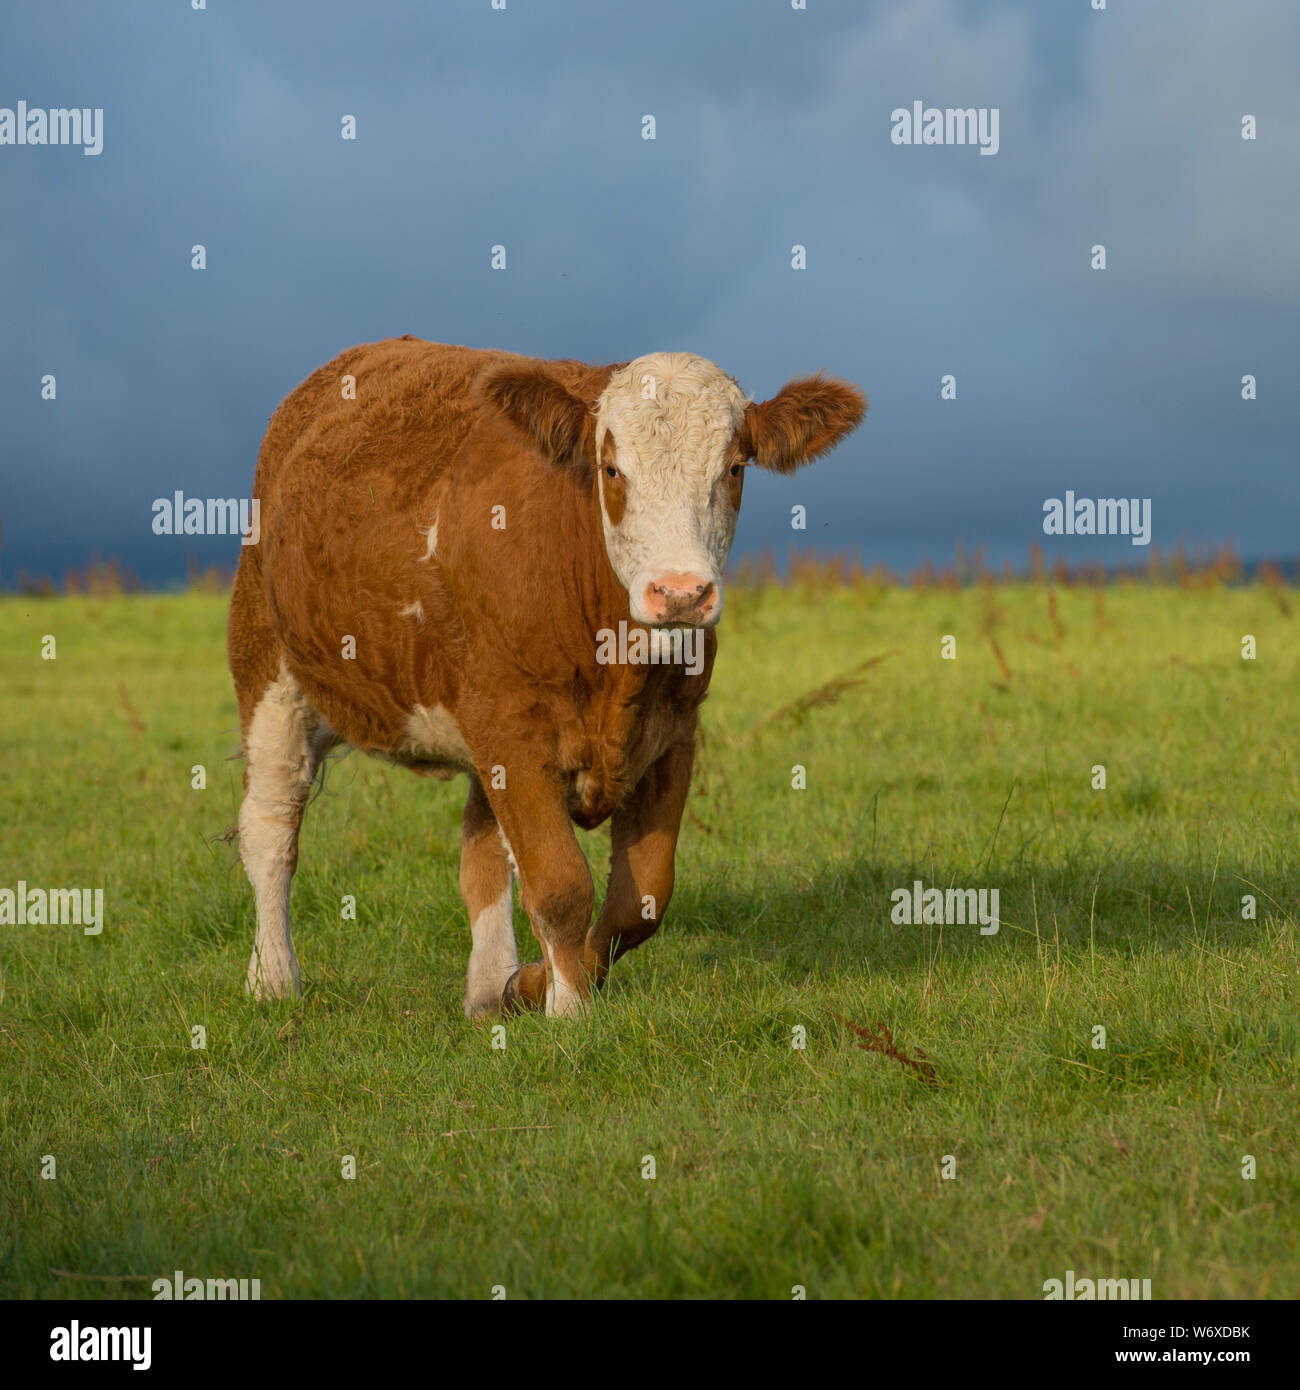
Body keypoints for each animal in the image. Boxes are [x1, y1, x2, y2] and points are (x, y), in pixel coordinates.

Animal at [229, 334, 867, 1011]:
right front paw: (568, 1008)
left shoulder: (673, 731)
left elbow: (641, 898)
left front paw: (533, 982)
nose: (680, 592)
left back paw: (488, 987)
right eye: (612, 470)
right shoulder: (512, 726)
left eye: (735, 468)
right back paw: (273, 980)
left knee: (482, 849)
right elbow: (560, 884)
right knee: (271, 829)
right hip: (268, 669)